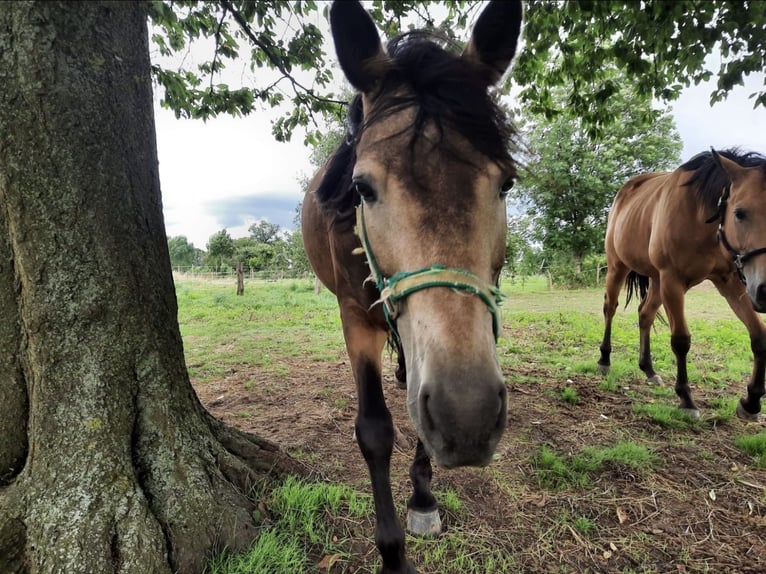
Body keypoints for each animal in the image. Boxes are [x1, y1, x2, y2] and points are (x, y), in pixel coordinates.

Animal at [301, 1, 521, 572]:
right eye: (362, 187)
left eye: (506, 182)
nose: (467, 416)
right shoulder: (354, 317)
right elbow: (375, 430)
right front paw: (393, 554)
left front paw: (423, 499)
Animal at [598, 149, 766, 421]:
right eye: (739, 213)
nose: (765, 290)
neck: (700, 216)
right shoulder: (673, 281)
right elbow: (680, 340)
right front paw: (686, 399)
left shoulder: (732, 281)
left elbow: (759, 336)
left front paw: (751, 402)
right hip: (618, 267)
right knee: (610, 308)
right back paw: (604, 360)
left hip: (657, 281)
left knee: (645, 314)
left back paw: (648, 369)